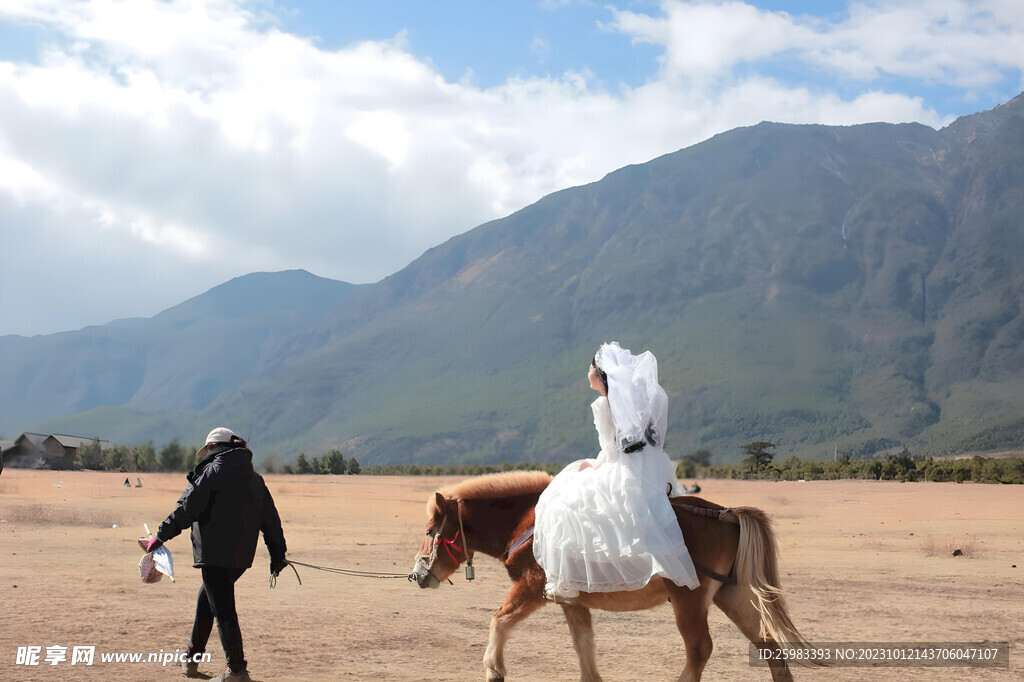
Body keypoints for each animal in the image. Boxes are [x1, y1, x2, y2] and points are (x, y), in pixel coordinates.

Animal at [411, 471, 819, 679]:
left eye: (430, 530)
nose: (418, 575)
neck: (530, 520)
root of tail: (728, 514)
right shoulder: (571, 601)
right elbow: (584, 647)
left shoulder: (531, 587)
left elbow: (499, 620)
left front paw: (494, 669)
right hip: (730, 595)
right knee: (768, 643)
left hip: (689, 599)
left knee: (700, 649)